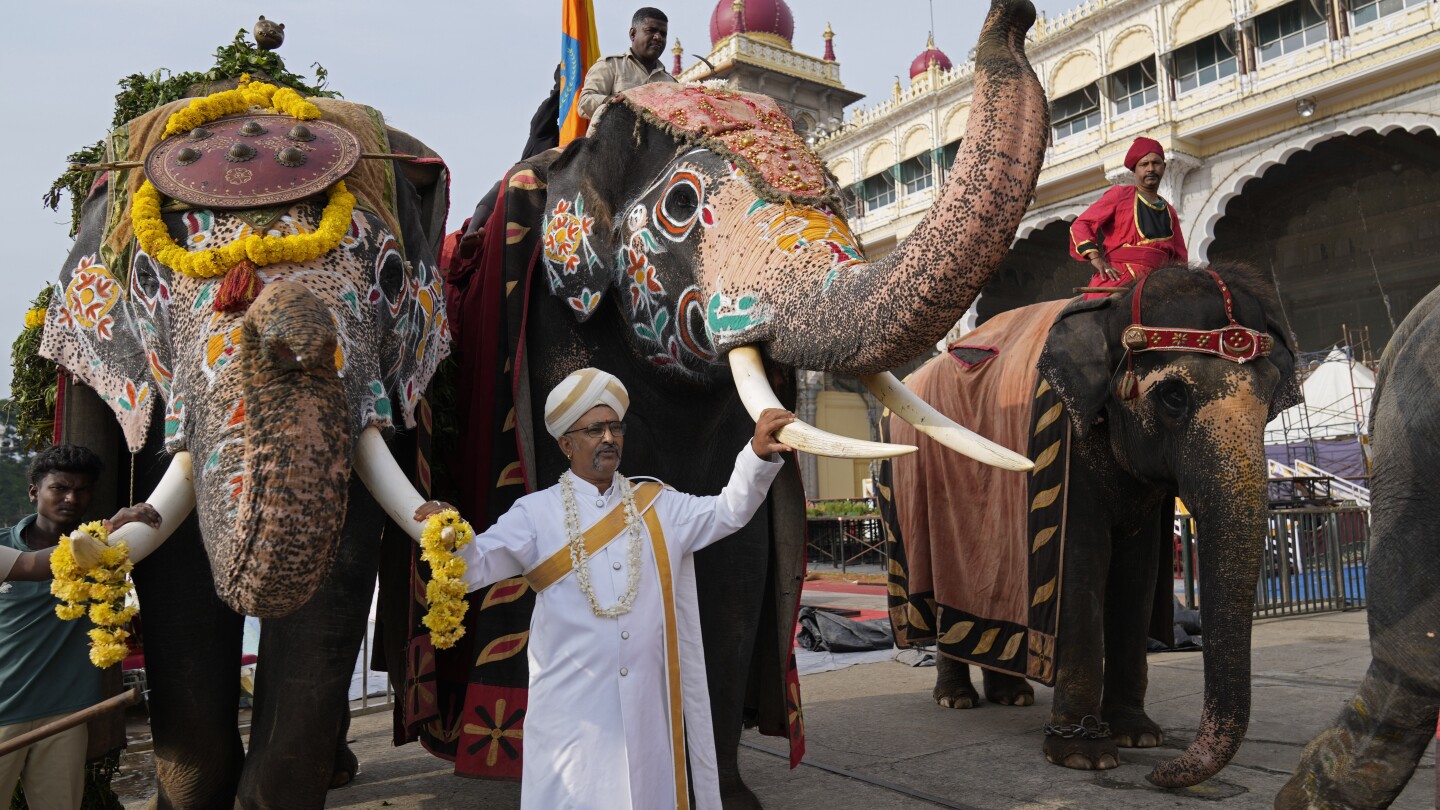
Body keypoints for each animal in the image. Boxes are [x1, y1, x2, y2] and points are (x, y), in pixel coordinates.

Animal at [411, 1, 1054, 801]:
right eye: (682, 204)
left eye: (842, 195)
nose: (1015, 14)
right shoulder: (552, 331)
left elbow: (736, 554)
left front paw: (727, 794)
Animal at [875, 265, 1307, 789]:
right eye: (1174, 396)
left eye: (1270, 402)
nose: (1159, 776)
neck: (1112, 310)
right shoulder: (1068, 445)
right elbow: (1082, 565)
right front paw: (1085, 756)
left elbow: (1137, 574)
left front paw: (1139, 738)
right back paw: (956, 700)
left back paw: (1012, 696)